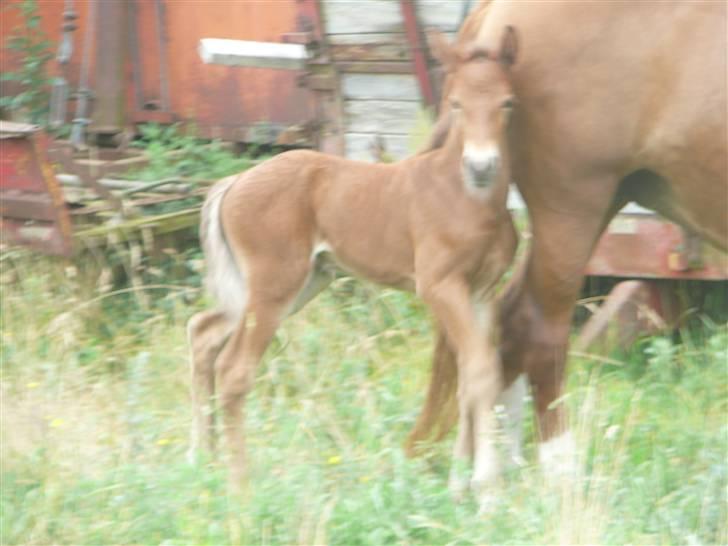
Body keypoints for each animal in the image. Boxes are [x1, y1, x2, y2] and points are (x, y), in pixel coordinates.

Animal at [188, 27, 516, 500]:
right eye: (455, 103)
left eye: (508, 102)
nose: (482, 165)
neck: (467, 197)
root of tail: (233, 182)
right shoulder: (439, 286)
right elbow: (479, 369)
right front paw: (486, 490)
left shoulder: (482, 291)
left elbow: (474, 374)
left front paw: (460, 484)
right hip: (275, 284)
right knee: (234, 369)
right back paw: (240, 486)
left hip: (296, 283)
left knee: (203, 333)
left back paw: (203, 461)